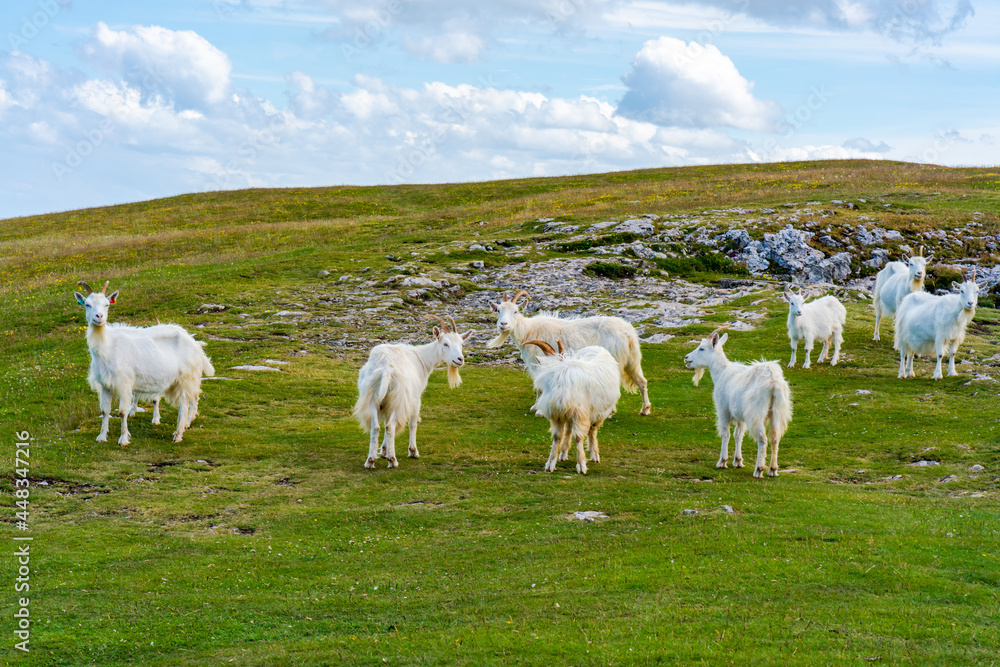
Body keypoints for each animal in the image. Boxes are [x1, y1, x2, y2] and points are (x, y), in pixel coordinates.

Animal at [74, 280, 215, 445]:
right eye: (87, 304)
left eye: (106, 305)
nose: (99, 316)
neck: (108, 345)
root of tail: (196, 344)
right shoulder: (105, 384)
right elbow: (105, 411)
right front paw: (102, 436)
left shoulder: (125, 383)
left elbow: (122, 412)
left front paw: (123, 438)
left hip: (186, 378)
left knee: (185, 405)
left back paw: (179, 433)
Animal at [354, 314, 471, 469]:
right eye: (445, 344)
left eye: (461, 344)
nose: (460, 359)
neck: (421, 358)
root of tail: (386, 368)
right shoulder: (415, 397)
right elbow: (413, 423)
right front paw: (413, 451)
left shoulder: (387, 401)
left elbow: (385, 422)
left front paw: (384, 450)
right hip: (399, 398)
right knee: (391, 426)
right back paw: (393, 460)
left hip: (372, 396)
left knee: (377, 427)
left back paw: (370, 461)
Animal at [487, 290, 651, 415]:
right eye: (499, 310)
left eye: (515, 311)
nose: (503, 324)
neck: (528, 330)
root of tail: (629, 334)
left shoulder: (538, 361)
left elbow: (539, 386)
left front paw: (537, 408)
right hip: (632, 360)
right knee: (642, 381)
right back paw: (645, 409)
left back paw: (611, 411)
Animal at [525, 339, 620, 475]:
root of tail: (598, 347)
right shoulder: (558, 415)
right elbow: (557, 437)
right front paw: (550, 464)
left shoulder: (580, 414)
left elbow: (578, 437)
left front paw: (581, 465)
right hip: (569, 413)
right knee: (569, 430)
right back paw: (563, 454)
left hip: (598, 412)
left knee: (592, 431)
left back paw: (594, 455)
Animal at [684, 326, 792, 478]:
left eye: (702, 348)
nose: (686, 358)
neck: (721, 372)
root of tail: (773, 382)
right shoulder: (740, 414)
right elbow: (738, 434)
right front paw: (738, 461)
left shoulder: (723, 410)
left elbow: (726, 433)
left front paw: (722, 461)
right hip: (778, 410)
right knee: (775, 438)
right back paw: (773, 469)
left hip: (757, 412)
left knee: (763, 438)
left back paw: (759, 469)